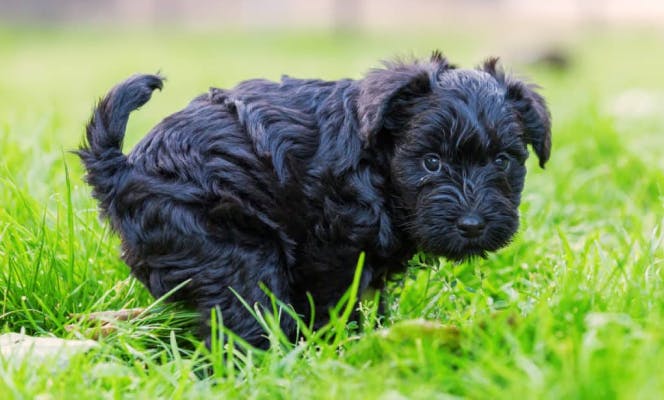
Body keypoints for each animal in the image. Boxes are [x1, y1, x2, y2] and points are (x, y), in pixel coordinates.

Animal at [79, 52, 548, 346]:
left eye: (503, 161)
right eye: (431, 162)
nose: (472, 224)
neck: (376, 165)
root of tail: (121, 167)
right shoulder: (333, 251)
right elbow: (334, 303)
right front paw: (342, 347)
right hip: (231, 250)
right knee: (245, 314)